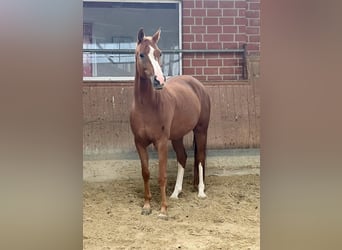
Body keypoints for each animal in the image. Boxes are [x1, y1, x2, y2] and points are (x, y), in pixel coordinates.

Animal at [130, 27, 211, 219]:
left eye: (159, 53)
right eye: (141, 54)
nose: (159, 80)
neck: (147, 107)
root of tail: (197, 85)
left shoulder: (161, 143)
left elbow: (162, 175)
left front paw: (163, 210)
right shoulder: (139, 143)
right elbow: (146, 173)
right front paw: (147, 206)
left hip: (201, 130)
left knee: (200, 157)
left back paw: (201, 191)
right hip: (177, 136)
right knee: (183, 157)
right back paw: (176, 193)